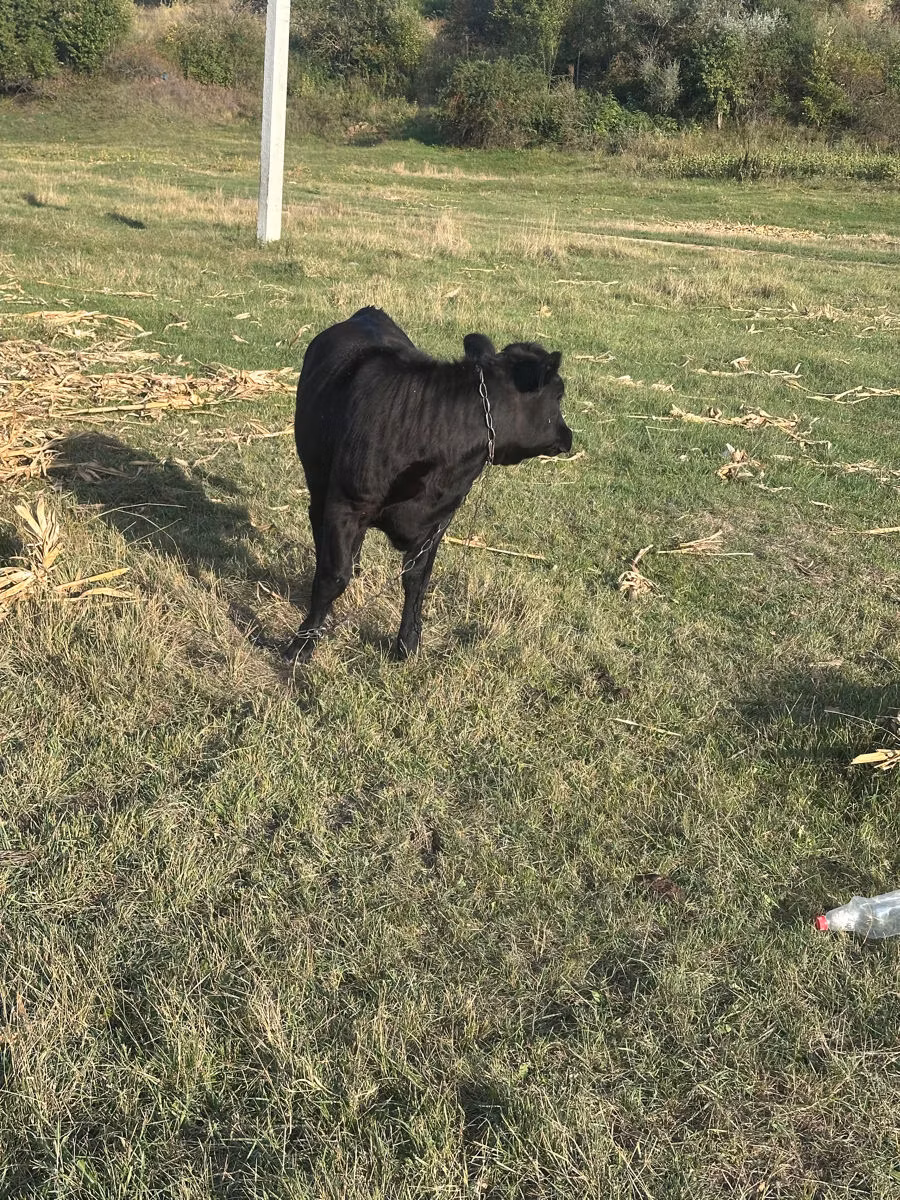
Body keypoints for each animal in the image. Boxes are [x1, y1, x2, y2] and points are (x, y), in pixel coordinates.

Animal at [285, 306, 572, 663]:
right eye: (558, 395)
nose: (568, 435)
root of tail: (368, 312)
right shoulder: (346, 505)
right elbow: (333, 576)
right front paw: (302, 643)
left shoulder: (440, 518)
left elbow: (417, 579)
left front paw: (408, 642)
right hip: (318, 480)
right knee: (318, 524)